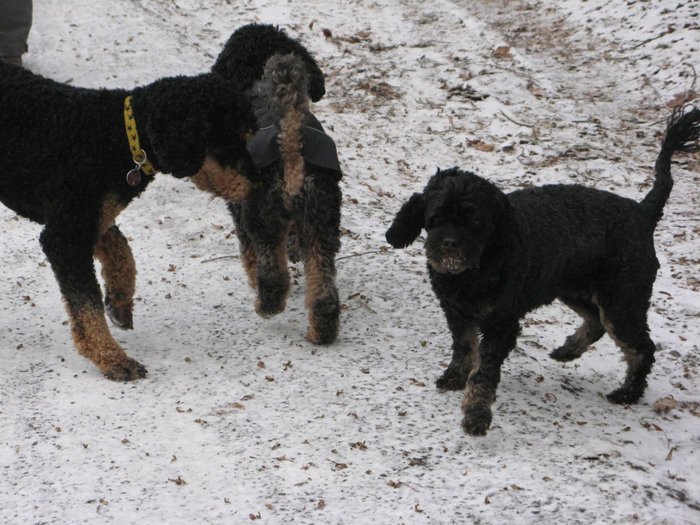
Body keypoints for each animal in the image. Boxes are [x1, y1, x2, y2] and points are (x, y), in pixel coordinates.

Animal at [0, 61, 260, 380]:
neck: (120, 138)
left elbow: (122, 250)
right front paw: (112, 358)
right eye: (228, 142)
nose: (259, 184)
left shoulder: (94, 216)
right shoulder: (66, 234)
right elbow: (87, 305)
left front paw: (119, 301)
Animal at [213, 23, 344, 344]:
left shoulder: (240, 211)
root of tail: (290, 145)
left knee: (272, 273)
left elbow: (248, 253)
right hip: (322, 220)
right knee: (323, 285)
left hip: (262, 216)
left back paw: (267, 305)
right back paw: (321, 330)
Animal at [388, 105, 700, 434]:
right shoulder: (457, 312)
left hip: (622, 302)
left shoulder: (502, 325)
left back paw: (629, 392)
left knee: (643, 347)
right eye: (435, 219)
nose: (450, 244)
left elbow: (484, 372)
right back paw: (569, 350)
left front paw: (476, 413)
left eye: (475, 222)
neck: (475, 270)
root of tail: (643, 211)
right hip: (576, 290)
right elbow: (464, 348)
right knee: (597, 322)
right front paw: (456, 375)